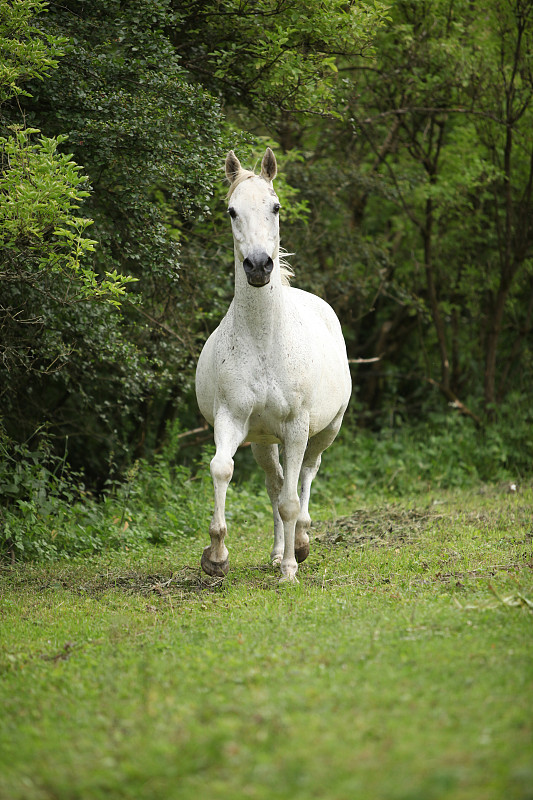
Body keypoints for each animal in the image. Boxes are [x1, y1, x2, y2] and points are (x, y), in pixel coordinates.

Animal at [194, 147, 350, 580]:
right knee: (275, 483)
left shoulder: (297, 429)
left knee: (306, 476)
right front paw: (216, 555)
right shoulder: (232, 420)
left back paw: (301, 543)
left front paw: (291, 571)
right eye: (231, 211)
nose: (260, 265)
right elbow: (222, 469)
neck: (265, 341)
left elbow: (293, 499)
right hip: (264, 442)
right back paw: (279, 551)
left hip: (325, 431)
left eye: (276, 207)